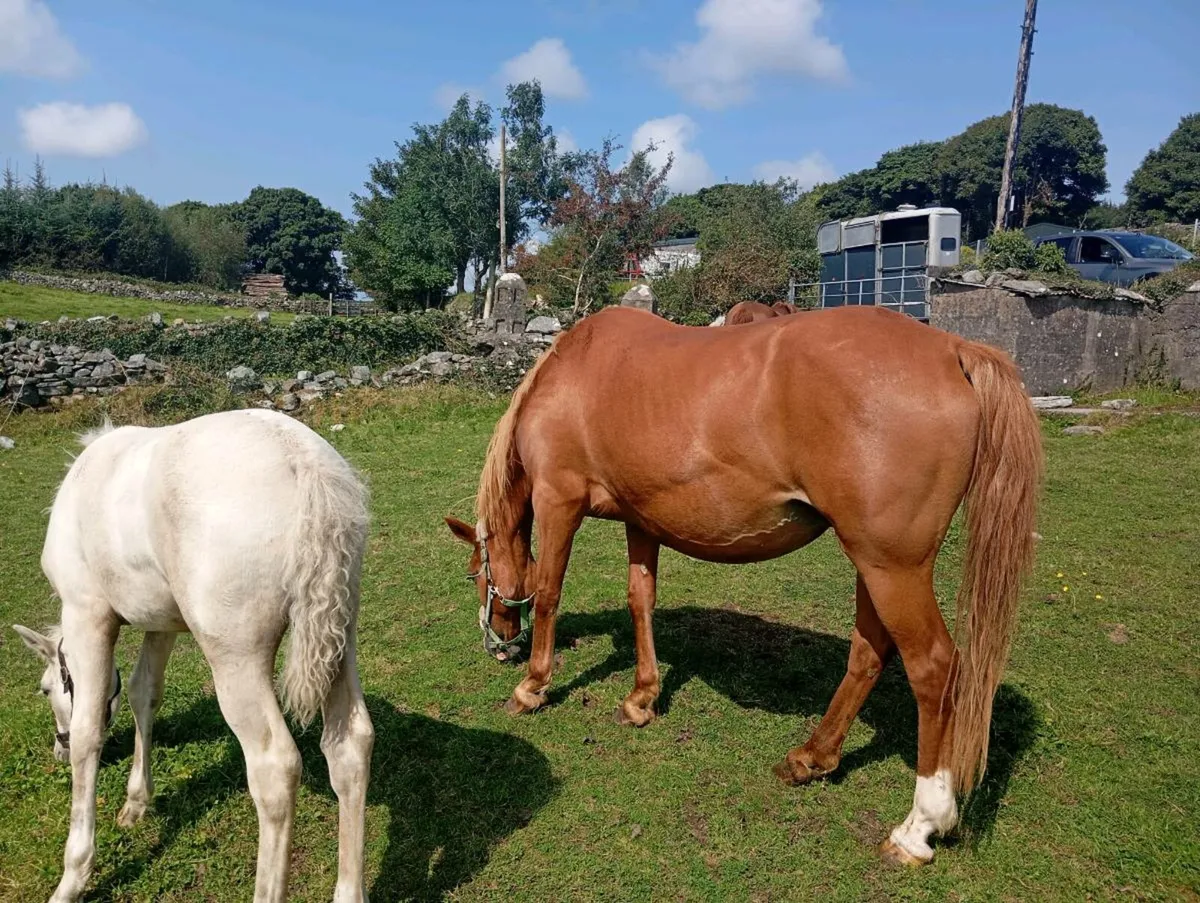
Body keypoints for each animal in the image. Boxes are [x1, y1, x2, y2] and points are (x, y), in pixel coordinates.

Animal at [14, 409, 373, 903]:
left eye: (46, 689)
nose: (57, 747)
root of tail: (305, 465)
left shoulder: (87, 612)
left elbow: (89, 732)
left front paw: (73, 876)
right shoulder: (162, 621)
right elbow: (144, 692)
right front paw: (136, 802)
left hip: (237, 658)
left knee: (275, 769)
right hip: (341, 635)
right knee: (350, 745)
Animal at [445, 304, 1042, 867]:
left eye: (476, 573)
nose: (498, 646)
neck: (573, 373)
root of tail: (952, 351)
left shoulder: (558, 499)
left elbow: (548, 593)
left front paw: (532, 686)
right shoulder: (641, 520)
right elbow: (641, 601)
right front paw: (642, 697)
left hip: (892, 567)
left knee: (935, 668)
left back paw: (919, 826)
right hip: (874, 565)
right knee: (869, 654)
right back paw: (812, 757)